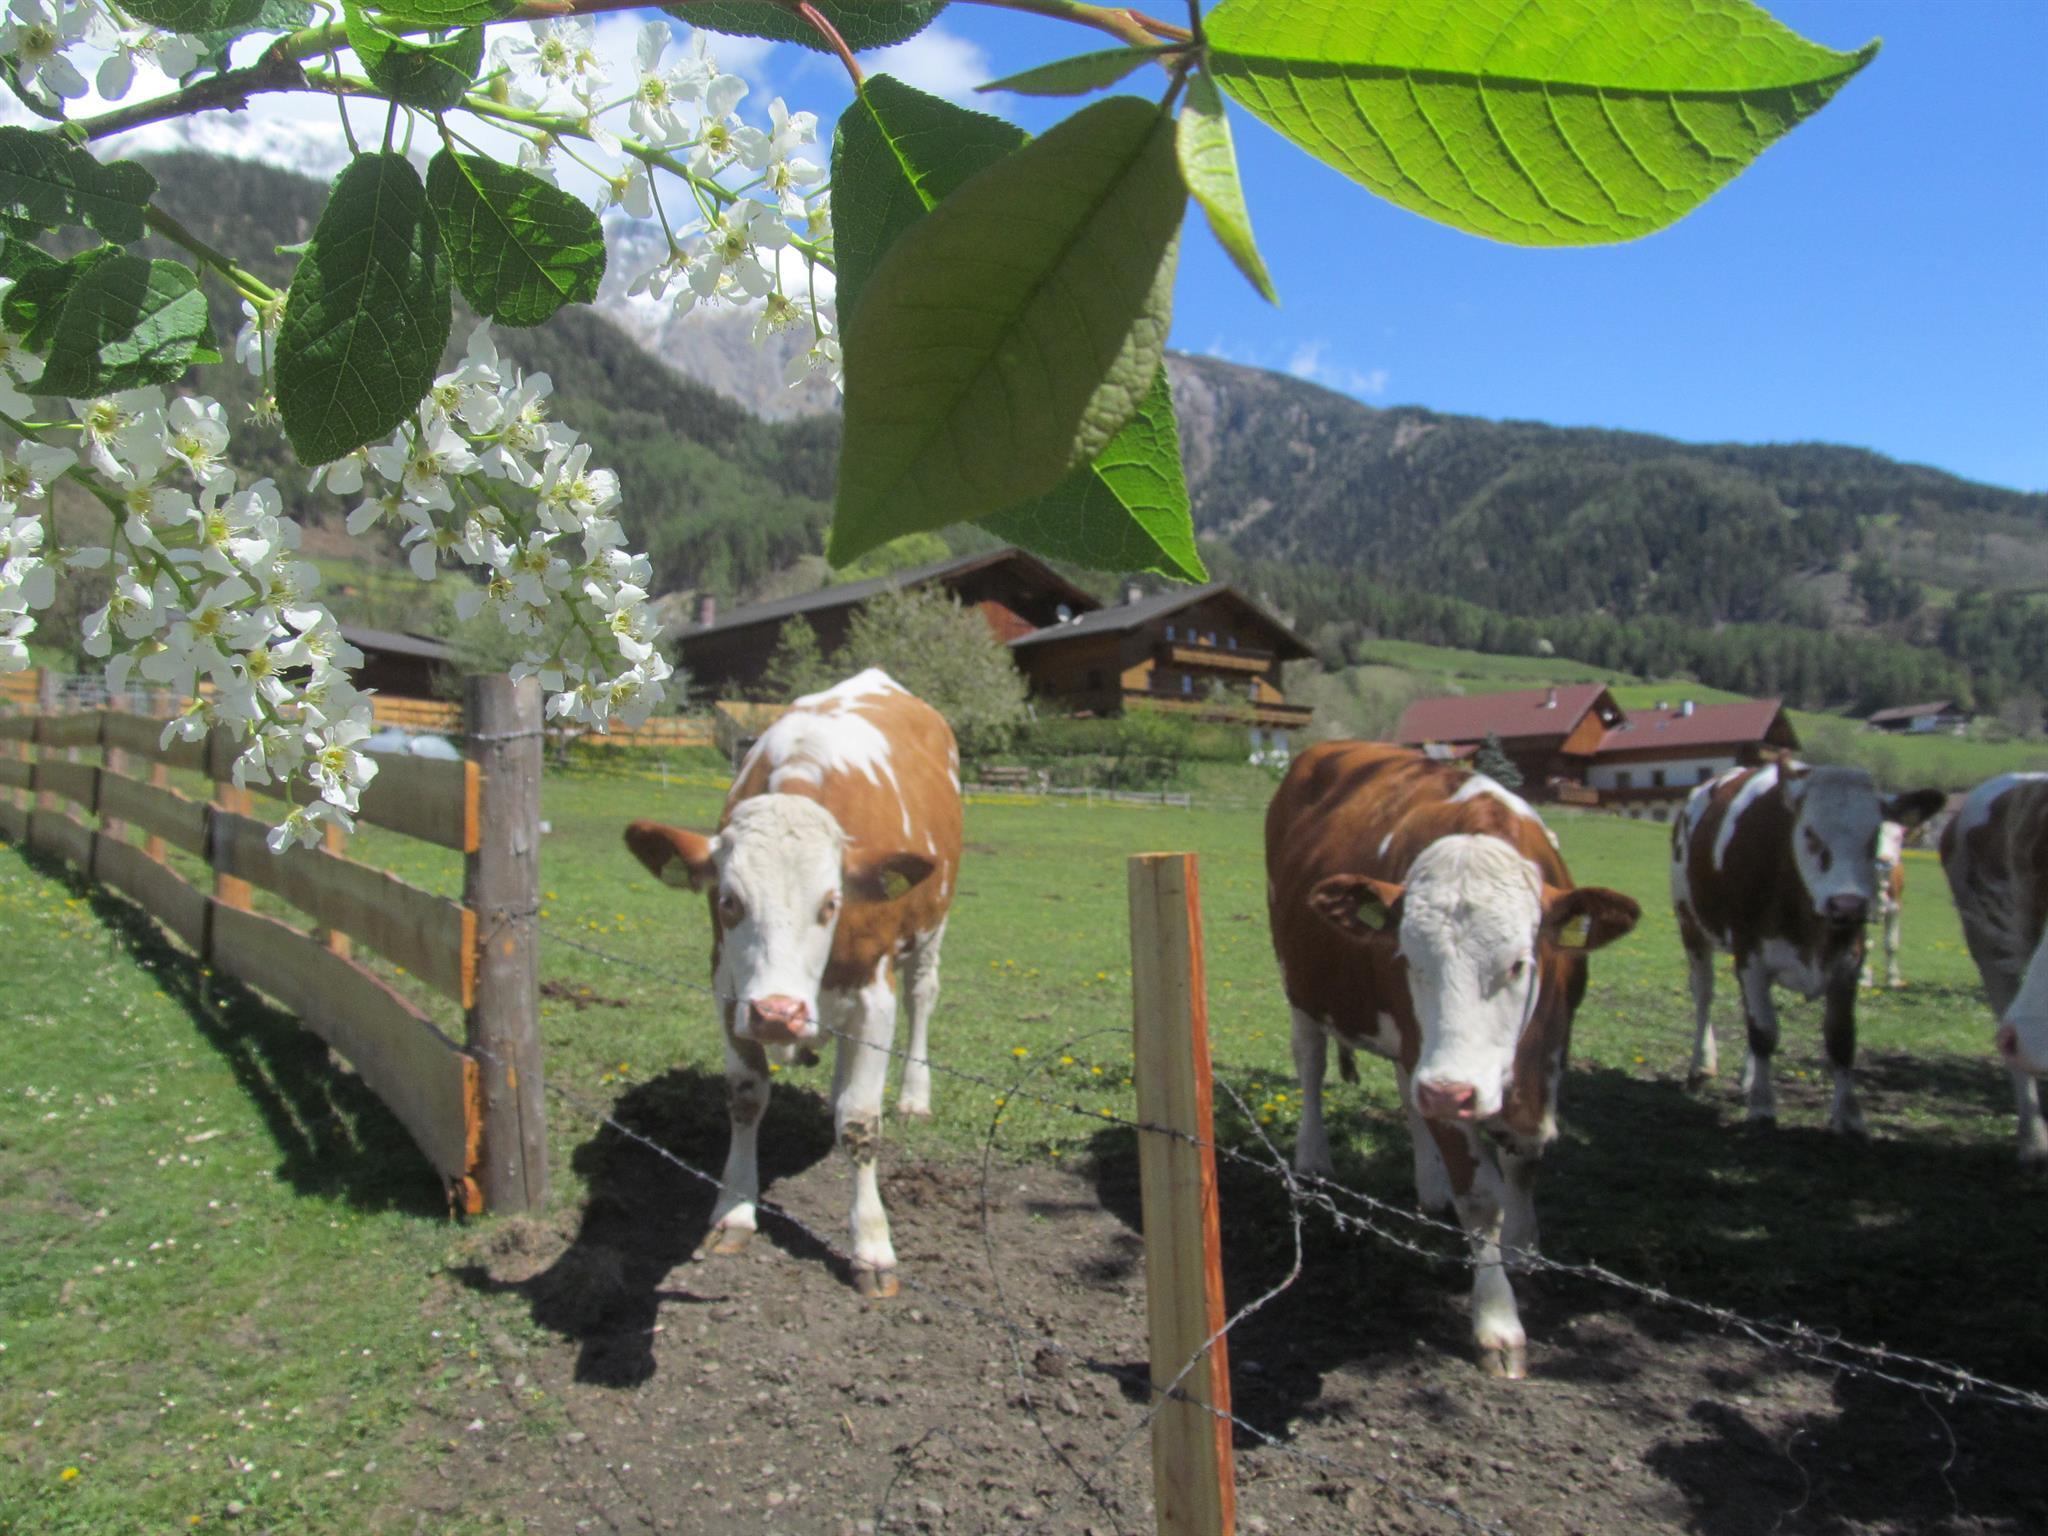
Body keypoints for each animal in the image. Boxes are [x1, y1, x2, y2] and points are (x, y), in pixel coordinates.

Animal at [623, 669, 962, 1298]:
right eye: (729, 901)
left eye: (830, 903)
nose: (777, 1013)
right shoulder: (729, 989)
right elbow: (746, 1097)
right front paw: (734, 1210)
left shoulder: (874, 993)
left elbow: (860, 1121)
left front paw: (872, 1245)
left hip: (933, 926)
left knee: (923, 997)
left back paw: (913, 1094)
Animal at [1266, 743, 1640, 1378]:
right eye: (1407, 958)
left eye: (1518, 964)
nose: (1450, 1090)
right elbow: (1482, 1198)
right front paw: (1498, 1324)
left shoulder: (1547, 1055)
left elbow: (1525, 1157)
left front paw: (1525, 1248)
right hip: (1304, 986)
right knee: (1312, 1063)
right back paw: (1315, 1158)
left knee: (1406, 1090)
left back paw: (1429, 1184)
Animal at [1860, 820, 1908, 989]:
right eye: (1873, 836)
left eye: (1898, 837)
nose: (1884, 860)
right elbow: (1865, 945)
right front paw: (1864, 978)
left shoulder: (1895, 907)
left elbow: (1891, 944)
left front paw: (1893, 978)